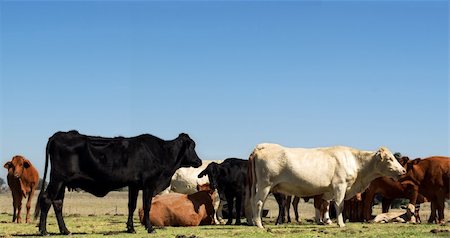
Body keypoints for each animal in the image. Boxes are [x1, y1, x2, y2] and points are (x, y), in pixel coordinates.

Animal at [35, 131, 202, 235]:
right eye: (192, 146)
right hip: (57, 180)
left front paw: (130, 228)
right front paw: (150, 228)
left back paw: (65, 230)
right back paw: (43, 231)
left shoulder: (133, 185)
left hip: (62, 183)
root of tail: (59, 135)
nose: (199, 161)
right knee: (46, 199)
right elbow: (146, 206)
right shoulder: (148, 184)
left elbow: (131, 206)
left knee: (57, 203)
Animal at [248, 144, 406, 228]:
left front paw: (327, 221)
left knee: (252, 201)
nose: (403, 170)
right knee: (258, 203)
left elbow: (326, 205)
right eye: (389, 159)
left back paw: (255, 222)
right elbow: (339, 205)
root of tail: (262, 146)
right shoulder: (340, 185)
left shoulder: (329, 190)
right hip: (265, 185)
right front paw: (340, 224)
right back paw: (259, 224)